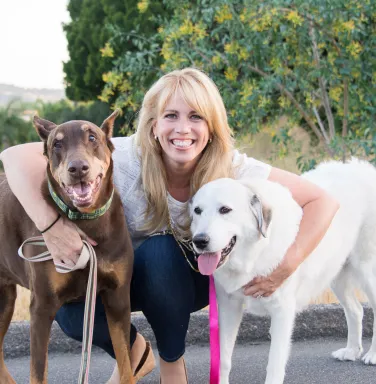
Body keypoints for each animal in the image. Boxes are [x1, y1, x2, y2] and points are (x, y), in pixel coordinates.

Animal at [0, 112, 134, 384]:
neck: (85, 223)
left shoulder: (118, 298)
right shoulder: (42, 306)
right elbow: (38, 372)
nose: (78, 168)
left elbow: (126, 364)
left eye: (92, 137)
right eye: (57, 144)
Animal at [191, 160, 376, 384]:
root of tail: (362, 167)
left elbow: (275, 364)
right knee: (356, 310)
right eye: (197, 211)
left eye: (225, 209)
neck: (253, 254)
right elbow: (223, 359)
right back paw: (351, 351)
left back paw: (372, 355)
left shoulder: (282, 312)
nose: (199, 241)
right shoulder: (228, 306)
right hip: (335, 274)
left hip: (367, 271)